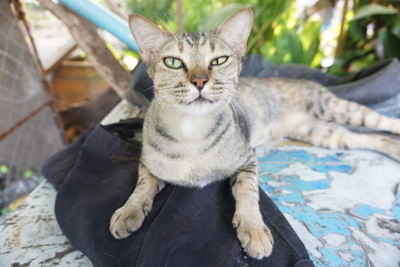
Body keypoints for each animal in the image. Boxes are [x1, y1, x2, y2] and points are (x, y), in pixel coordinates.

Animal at [109, 7, 400, 260]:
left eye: (219, 60)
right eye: (172, 62)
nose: (200, 81)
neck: (192, 130)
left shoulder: (248, 158)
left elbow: (248, 192)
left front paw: (253, 229)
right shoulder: (148, 163)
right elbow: (142, 185)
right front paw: (128, 211)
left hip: (336, 109)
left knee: (382, 123)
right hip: (322, 132)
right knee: (372, 137)